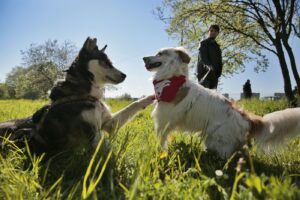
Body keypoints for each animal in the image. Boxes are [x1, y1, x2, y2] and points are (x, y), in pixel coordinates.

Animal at [142, 47, 300, 159]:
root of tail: (247, 119)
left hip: (218, 138)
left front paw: (159, 152)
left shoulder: (163, 121)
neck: (171, 80)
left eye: (160, 53)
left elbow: (161, 140)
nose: (143, 58)